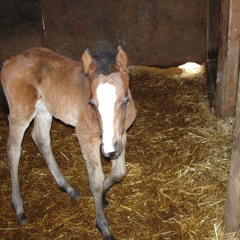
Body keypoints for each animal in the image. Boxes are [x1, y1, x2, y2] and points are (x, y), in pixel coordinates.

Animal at [0, 46, 137, 239]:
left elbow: (119, 172)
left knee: (41, 139)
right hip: (21, 112)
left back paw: (67, 187)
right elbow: (95, 179)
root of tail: (9, 61)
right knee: (13, 151)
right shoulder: (86, 136)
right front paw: (103, 226)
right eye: (92, 104)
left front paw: (103, 195)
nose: (110, 152)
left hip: (44, 109)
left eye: (125, 102)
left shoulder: (121, 136)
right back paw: (19, 209)